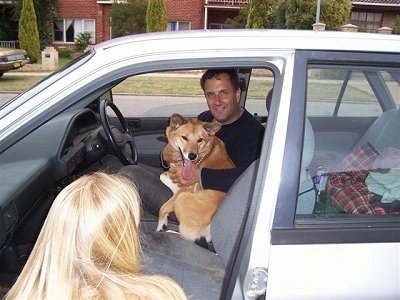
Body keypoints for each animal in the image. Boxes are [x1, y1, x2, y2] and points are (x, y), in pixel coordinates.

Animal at [157, 113, 234, 243]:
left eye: (200, 140)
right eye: (184, 137)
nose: (192, 156)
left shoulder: (183, 190)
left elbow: (163, 207)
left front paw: (160, 225)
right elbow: (162, 176)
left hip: (182, 199)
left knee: (188, 236)